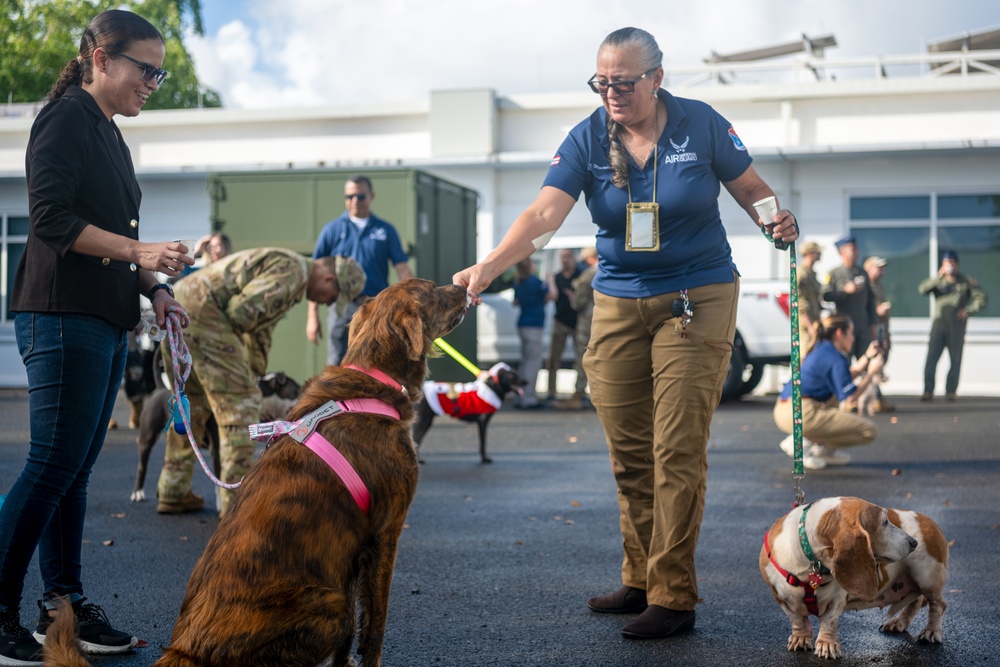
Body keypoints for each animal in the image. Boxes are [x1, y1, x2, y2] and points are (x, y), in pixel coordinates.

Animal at [41, 280, 470, 667]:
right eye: (434, 289)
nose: (465, 287)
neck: (372, 379)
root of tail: (183, 649)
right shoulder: (385, 534)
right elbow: (374, 627)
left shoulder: (348, 550)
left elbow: (351, 639)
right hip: (329, 603)